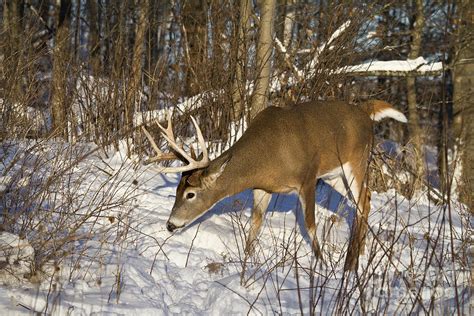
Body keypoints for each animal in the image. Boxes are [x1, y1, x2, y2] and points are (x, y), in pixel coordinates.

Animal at [143, 100, 408, 270]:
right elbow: (253, 228)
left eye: (190, 194)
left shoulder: (308, 177)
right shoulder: (262, 189)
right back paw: (359, 255)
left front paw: (321, 264)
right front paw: (246, 262)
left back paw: (350, 263)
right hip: (335, 175)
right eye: (176, 191)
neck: (268, 158)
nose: (170, 224)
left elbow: (310, 225)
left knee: (363, 200)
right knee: (367, 199)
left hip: (357, 161)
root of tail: (365, 112)